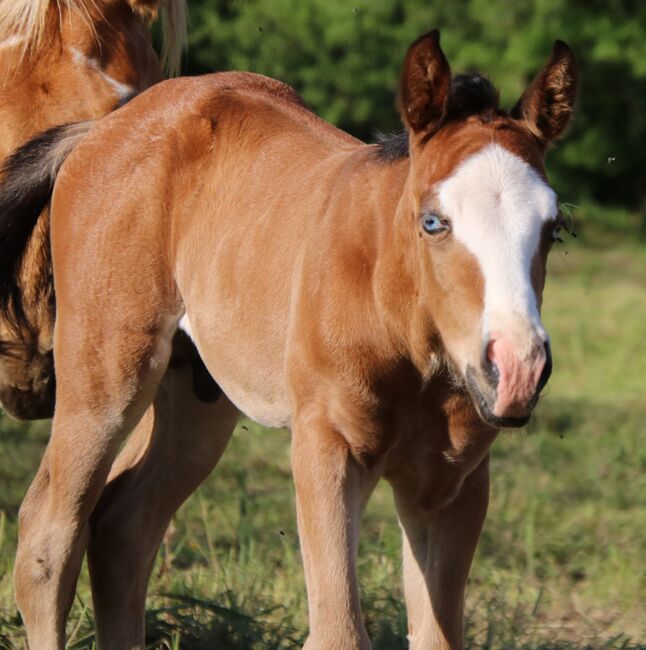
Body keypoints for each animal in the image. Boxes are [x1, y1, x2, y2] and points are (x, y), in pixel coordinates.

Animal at [2, 30, 576, 648]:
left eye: (553, 228)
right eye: (433, 222)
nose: (516, 368)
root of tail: (105, 126)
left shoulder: (452, 483)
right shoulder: (326, 448)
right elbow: (338, 633)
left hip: (197, 400)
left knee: (123, 527)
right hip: (106, 375)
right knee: (49, 537)